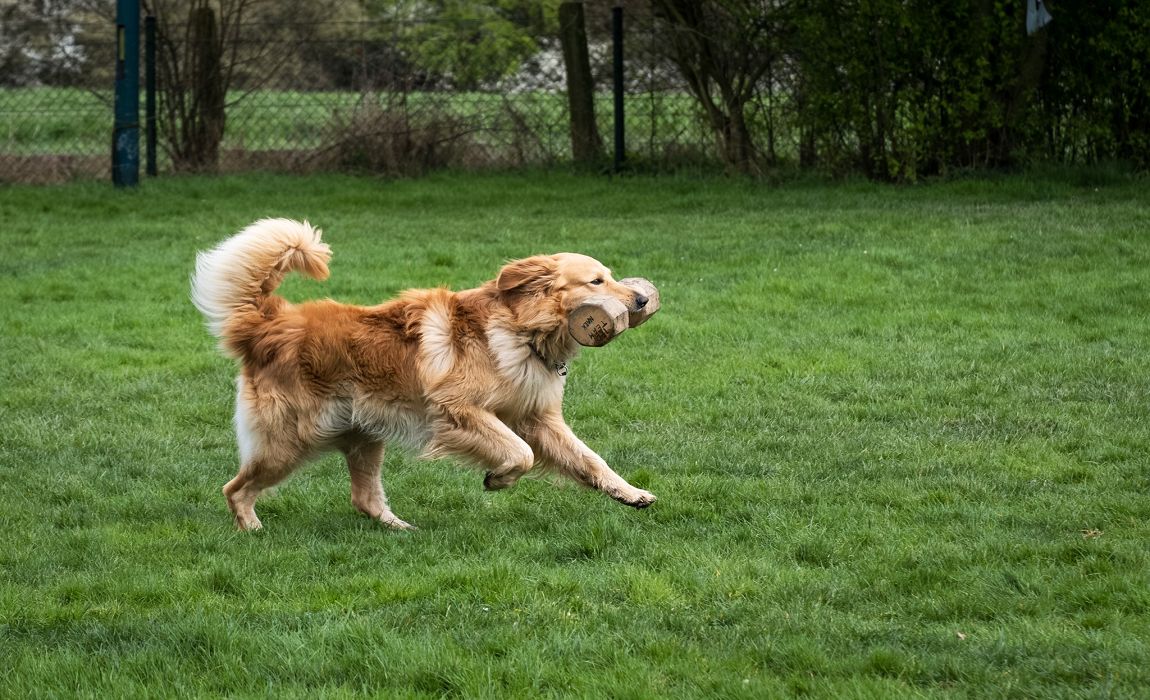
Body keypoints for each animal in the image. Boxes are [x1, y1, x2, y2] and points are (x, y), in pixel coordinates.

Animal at [190, 218, 657, 528]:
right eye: (596, 281)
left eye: (612, 277)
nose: (641, 300)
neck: (522, 331)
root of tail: (268, 323)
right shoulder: (459, 410)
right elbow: (520, 452)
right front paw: (498, 479)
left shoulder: (539, 418)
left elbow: (590, 459)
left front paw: (630, 493)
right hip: (291, 441)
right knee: (234, 489)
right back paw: (252, 530)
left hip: (363, 437)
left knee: (363, 498)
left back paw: (400, 529)